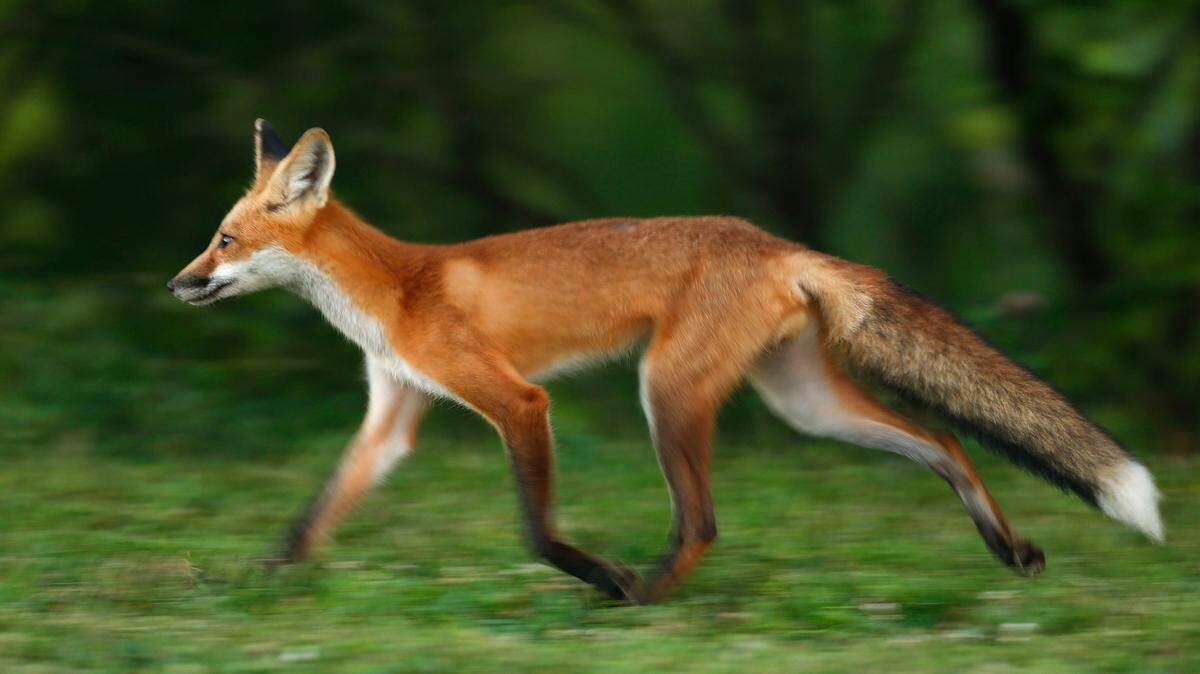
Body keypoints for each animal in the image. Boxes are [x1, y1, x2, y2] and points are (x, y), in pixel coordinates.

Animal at [168, 120, 1164, 603]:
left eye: (223, 240)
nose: (178, 284)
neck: (398, 290)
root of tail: (776, 243)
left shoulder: (516, 400)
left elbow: (535, 530)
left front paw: (597, 574)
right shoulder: (394, 416)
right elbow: (311, 521)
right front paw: (251, 591)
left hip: (669, 392)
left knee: (704, 525)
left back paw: (640, 596)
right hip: (804, 404)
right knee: (945, 441)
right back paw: (1008, 545)